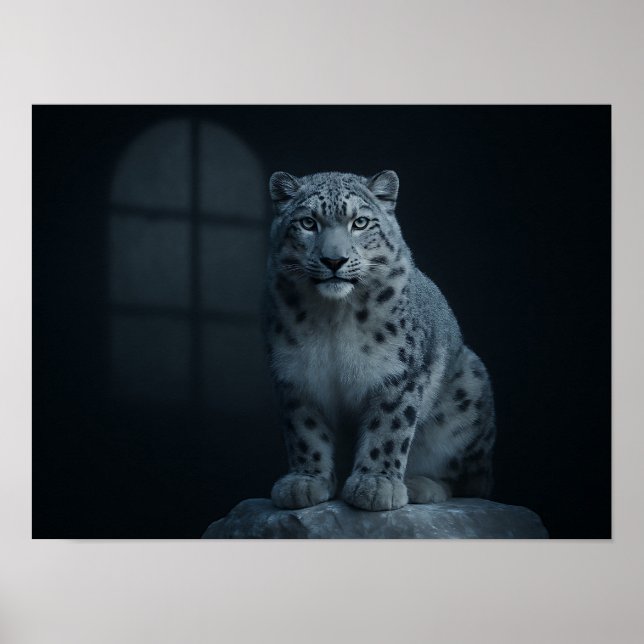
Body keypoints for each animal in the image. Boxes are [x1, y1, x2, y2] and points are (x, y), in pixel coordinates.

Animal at [264, 170, 495, 512]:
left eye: (360, 222)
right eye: (308, 222)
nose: (334, 260)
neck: (332, 319)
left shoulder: (398, 374)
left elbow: (388, 430)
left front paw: (375, 485)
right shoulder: (294, 374)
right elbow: (305, 431)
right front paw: (305, 481)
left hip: (470, 384)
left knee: (467, 481)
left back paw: (421, 485)